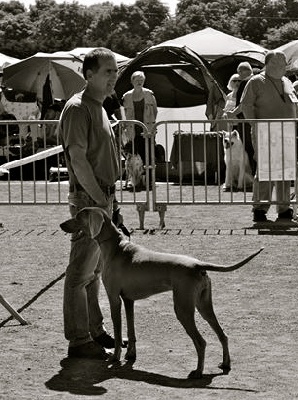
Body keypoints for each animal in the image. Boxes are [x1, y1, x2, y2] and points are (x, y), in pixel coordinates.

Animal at [60, 208, 264, 380]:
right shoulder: (128, 300)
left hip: (182, 309)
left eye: (78, 217)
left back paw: (198, 372)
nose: (61, 224)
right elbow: (131, 330)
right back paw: (225, 364)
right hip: (204, 305)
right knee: (223, 335)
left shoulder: (114, 299)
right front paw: (131, 355)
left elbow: (118, 334)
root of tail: (198, 264)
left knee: (201, 342)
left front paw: (115, 358)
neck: (116, 248)